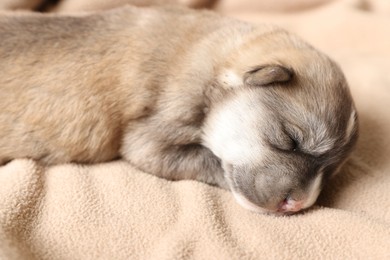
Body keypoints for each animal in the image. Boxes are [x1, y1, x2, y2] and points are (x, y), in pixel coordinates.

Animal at [0, 6, 358, 214]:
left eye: (330, 172)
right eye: (290, 141)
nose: (298, 204)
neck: (219, 59)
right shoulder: (152, 138)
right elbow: (206, 160)